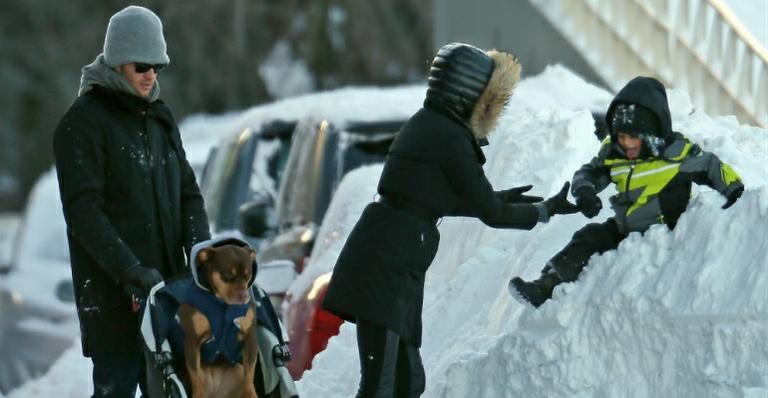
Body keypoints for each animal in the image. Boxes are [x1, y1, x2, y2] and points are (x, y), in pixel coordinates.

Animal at [178, 243, 260, 398]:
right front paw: (198, 394)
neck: (222, 304)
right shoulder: (192, 341)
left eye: (248, 276)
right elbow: (196, 377)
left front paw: (251, 394)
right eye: (228, 275)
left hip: (237, 370)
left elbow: (249, 374)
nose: (244, 296)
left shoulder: (250, 338)